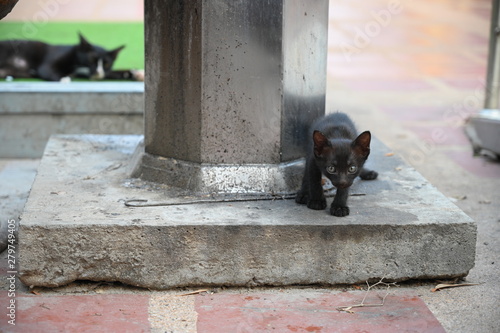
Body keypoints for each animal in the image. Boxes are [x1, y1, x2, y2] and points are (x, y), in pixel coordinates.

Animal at [0, 32, 143, 81]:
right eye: (91, 59)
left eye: (107, 63)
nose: (98, 72)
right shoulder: (47, 65)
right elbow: (50, 71)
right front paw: (65, 79)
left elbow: (114, 73)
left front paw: (137, 73)